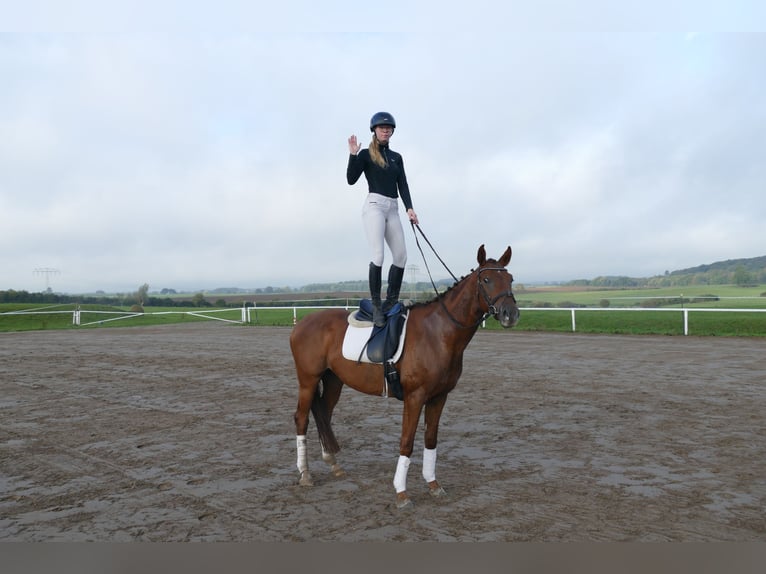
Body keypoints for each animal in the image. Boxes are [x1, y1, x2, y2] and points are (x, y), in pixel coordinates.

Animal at [290, 243, 520, 508]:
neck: (438, 333)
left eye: (510, 279)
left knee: (324, 414)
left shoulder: (439, 397)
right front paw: (401, 492)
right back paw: (305, 474)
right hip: (308, 380)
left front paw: (433, 484)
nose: (510, 314)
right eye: (486, 279)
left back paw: (333, 463)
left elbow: (430, 439)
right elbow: (407, 441)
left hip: (333, 380)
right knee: (301, 418)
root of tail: (301, 323)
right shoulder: (414, 397)